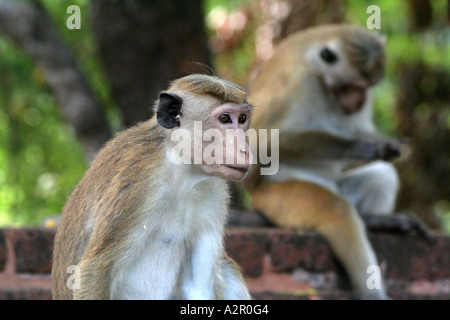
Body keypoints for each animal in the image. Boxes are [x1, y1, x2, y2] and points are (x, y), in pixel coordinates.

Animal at [51, 75, 253, 300]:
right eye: (225, 119)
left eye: (242, 118)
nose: (245, 149)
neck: (182, 167)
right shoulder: (139, 179)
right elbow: (95, 268)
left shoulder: (215, 191)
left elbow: (199, 287)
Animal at [246, 25, 400, 300]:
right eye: (352, 86)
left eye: (367, 87)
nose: (358, 101)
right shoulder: (297, 82)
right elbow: (261, 142)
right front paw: (361, 146)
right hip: (279, 196)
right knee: (336, 210)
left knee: (383, 176)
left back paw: (373, 219)